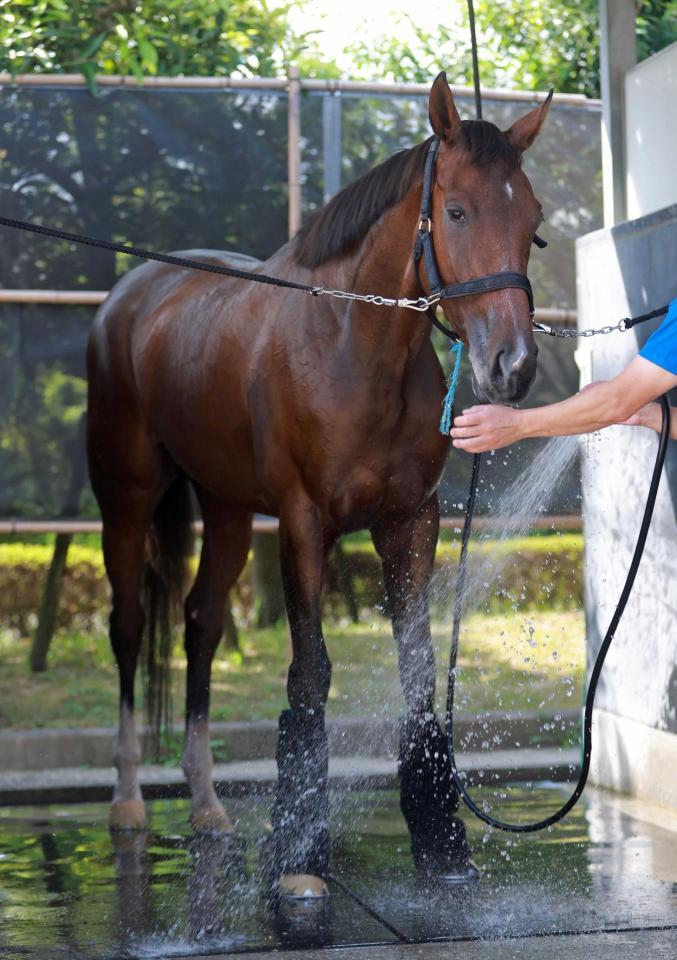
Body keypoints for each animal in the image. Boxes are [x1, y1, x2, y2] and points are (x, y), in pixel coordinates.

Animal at [86, 69, 548, 900]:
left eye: (532, 223)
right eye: (456, 210)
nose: (513, 366)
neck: (352, 347)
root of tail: (127, 297)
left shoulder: (409, 522)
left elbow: (416, 669)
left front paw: (441, 843)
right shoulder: (304, 523)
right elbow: (310, 673)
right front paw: (299, 857)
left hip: (227, 510)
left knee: (201, 623)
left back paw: (205, 803)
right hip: (127, 501)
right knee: (131, 626)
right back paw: (130, 799)